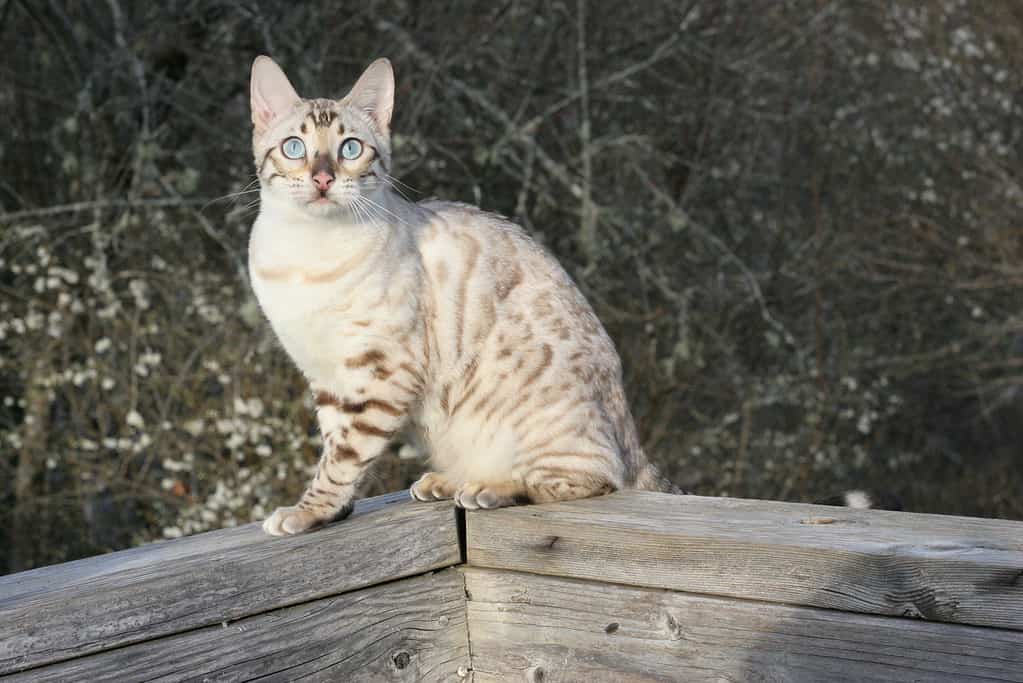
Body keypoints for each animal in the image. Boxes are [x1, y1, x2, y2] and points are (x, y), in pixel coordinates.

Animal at [247, 55, 675, 535]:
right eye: (294, 148)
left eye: (350, 150)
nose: (322, 178)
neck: (306, 255)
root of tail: (631, 434)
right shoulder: (327, 378)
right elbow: (336, 445)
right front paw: (332, 512)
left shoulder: (380, 371)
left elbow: (343, 458)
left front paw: (307, 512)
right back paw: (444, 482)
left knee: (593, 477)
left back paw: (488, 488)